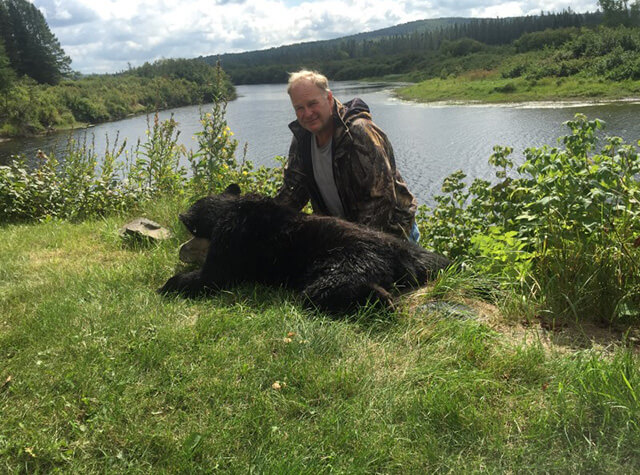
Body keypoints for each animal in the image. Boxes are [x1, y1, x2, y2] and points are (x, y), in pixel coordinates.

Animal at [159, 186, 450, 316]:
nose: (180, 251)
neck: (230, 209)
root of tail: (400, 251)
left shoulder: (229, 243)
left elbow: (210, 277)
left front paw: (166, 285)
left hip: (343, 263)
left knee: (323, 292)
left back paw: (383, 300)